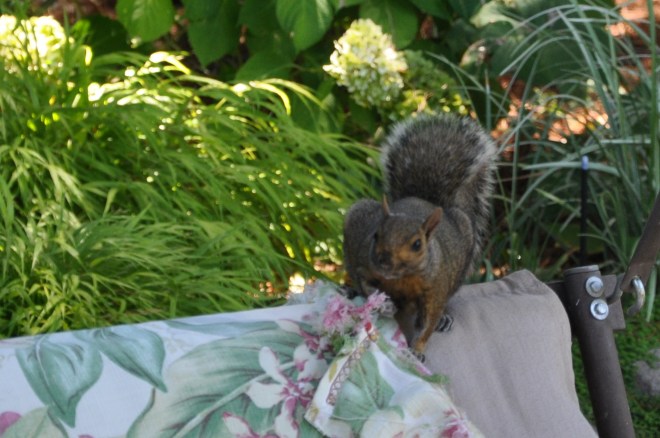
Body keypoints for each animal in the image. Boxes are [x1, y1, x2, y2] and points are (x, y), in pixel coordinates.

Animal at [343, 113, 497, 357]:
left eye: (417, 244)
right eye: (376, 235)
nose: (384, 261)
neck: (402, 279)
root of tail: (424, 200)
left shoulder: (435, 289)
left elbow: (428, 323)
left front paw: (417, 350)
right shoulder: (365, 267)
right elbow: (367, 286)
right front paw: (384, 304)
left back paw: (444, 319)